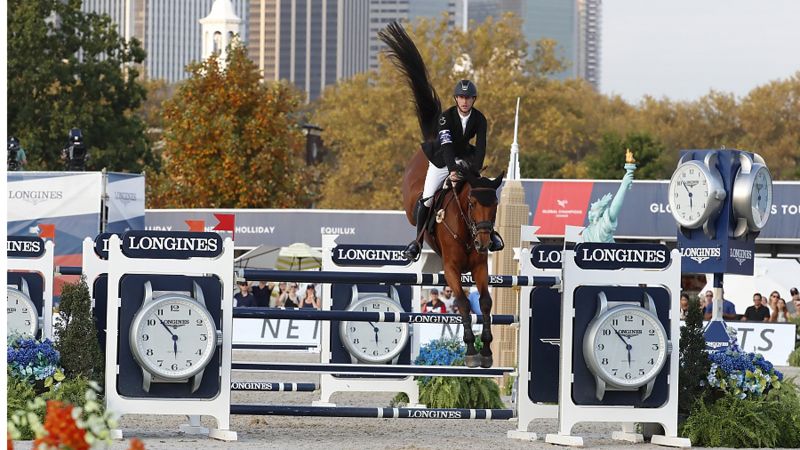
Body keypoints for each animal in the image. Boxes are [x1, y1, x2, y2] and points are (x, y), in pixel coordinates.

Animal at [378, 22, 504, 370]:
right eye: (472, 203)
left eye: (495, 205)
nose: (485, 242)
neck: (466, 229)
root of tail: (434, 137)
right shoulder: (449, 268)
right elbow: (461, 301)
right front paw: (472, 351)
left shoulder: (480, 266)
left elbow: (485, 301)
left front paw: (487, 350)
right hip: (420, 189)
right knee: (421, 205)